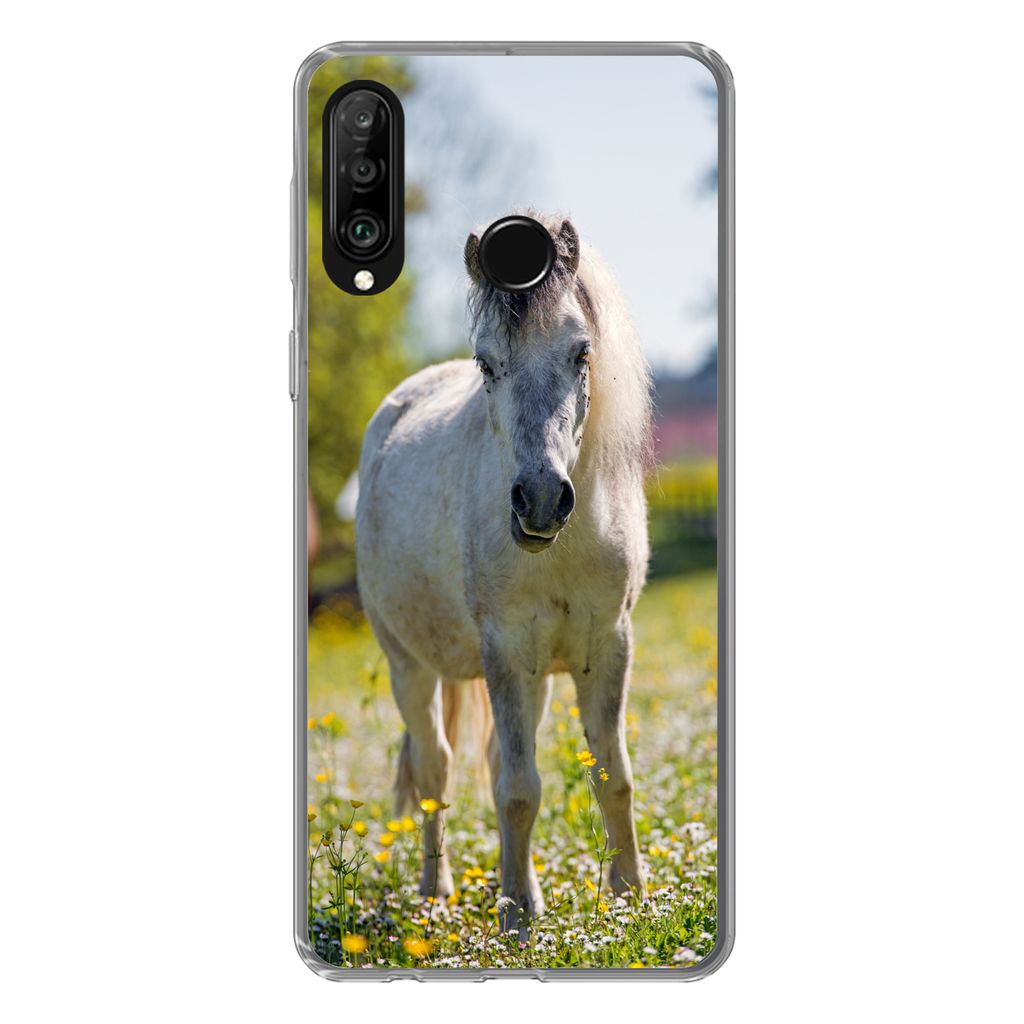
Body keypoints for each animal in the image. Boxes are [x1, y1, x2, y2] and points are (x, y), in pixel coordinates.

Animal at [355, 213, 653, 932]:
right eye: (486, 363)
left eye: (581, 352)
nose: (541, 500)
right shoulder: (506, 651)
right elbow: (519, 789)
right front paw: (517, 916)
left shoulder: (608, 646)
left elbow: (614, 775)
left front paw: (631, 898)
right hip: (410, 666)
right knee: (435, 769)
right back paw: (436, 892)